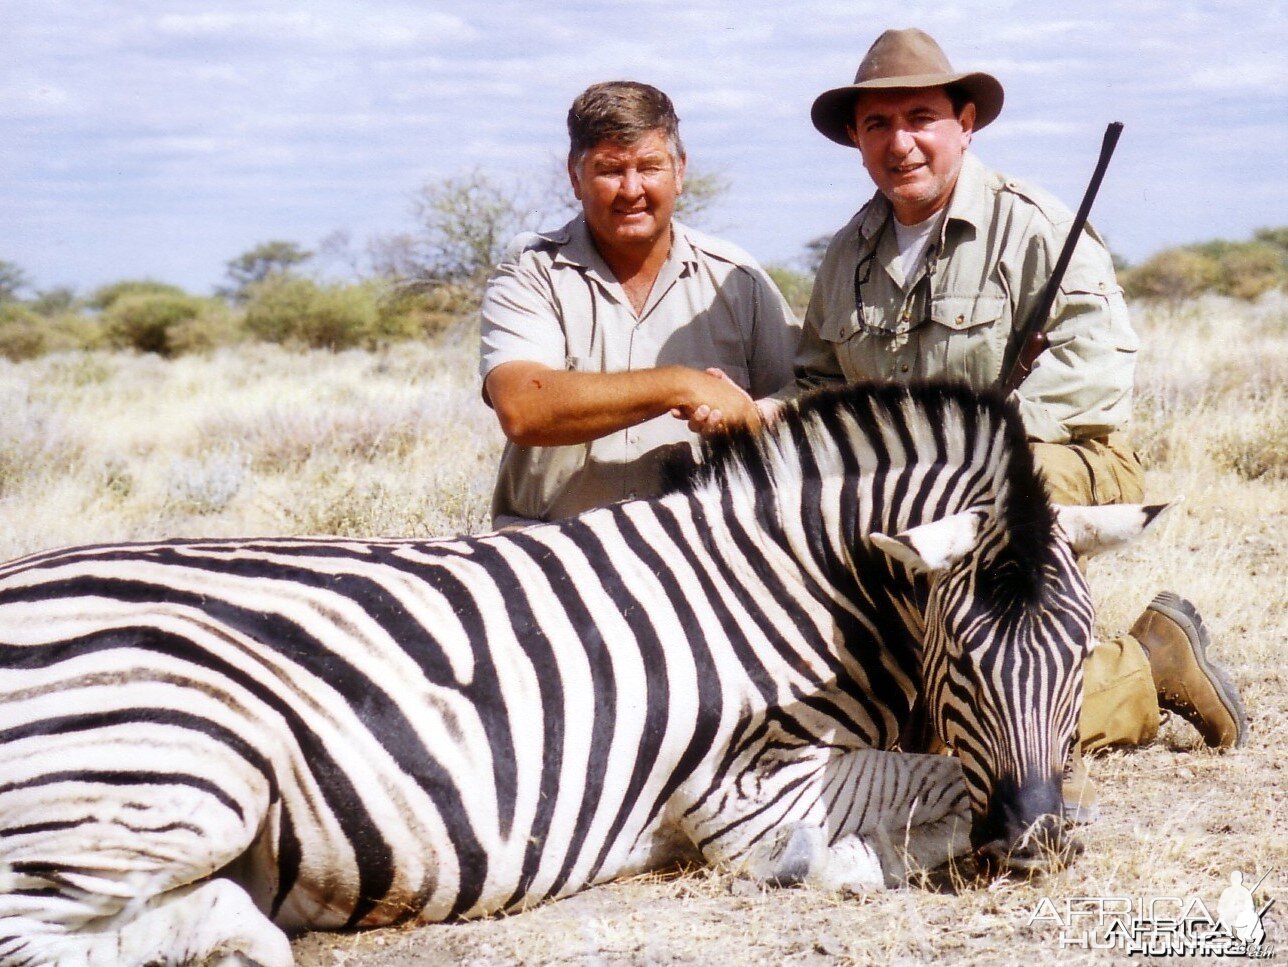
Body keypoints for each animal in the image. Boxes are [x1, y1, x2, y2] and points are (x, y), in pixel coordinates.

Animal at [0, 381, 1169, 963]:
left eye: (1079, 653)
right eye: (962, 659)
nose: (1037, 842)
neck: (803, 587)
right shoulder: (739, 786)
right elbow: (918, 802)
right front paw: (847, 859)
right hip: (182, 762)